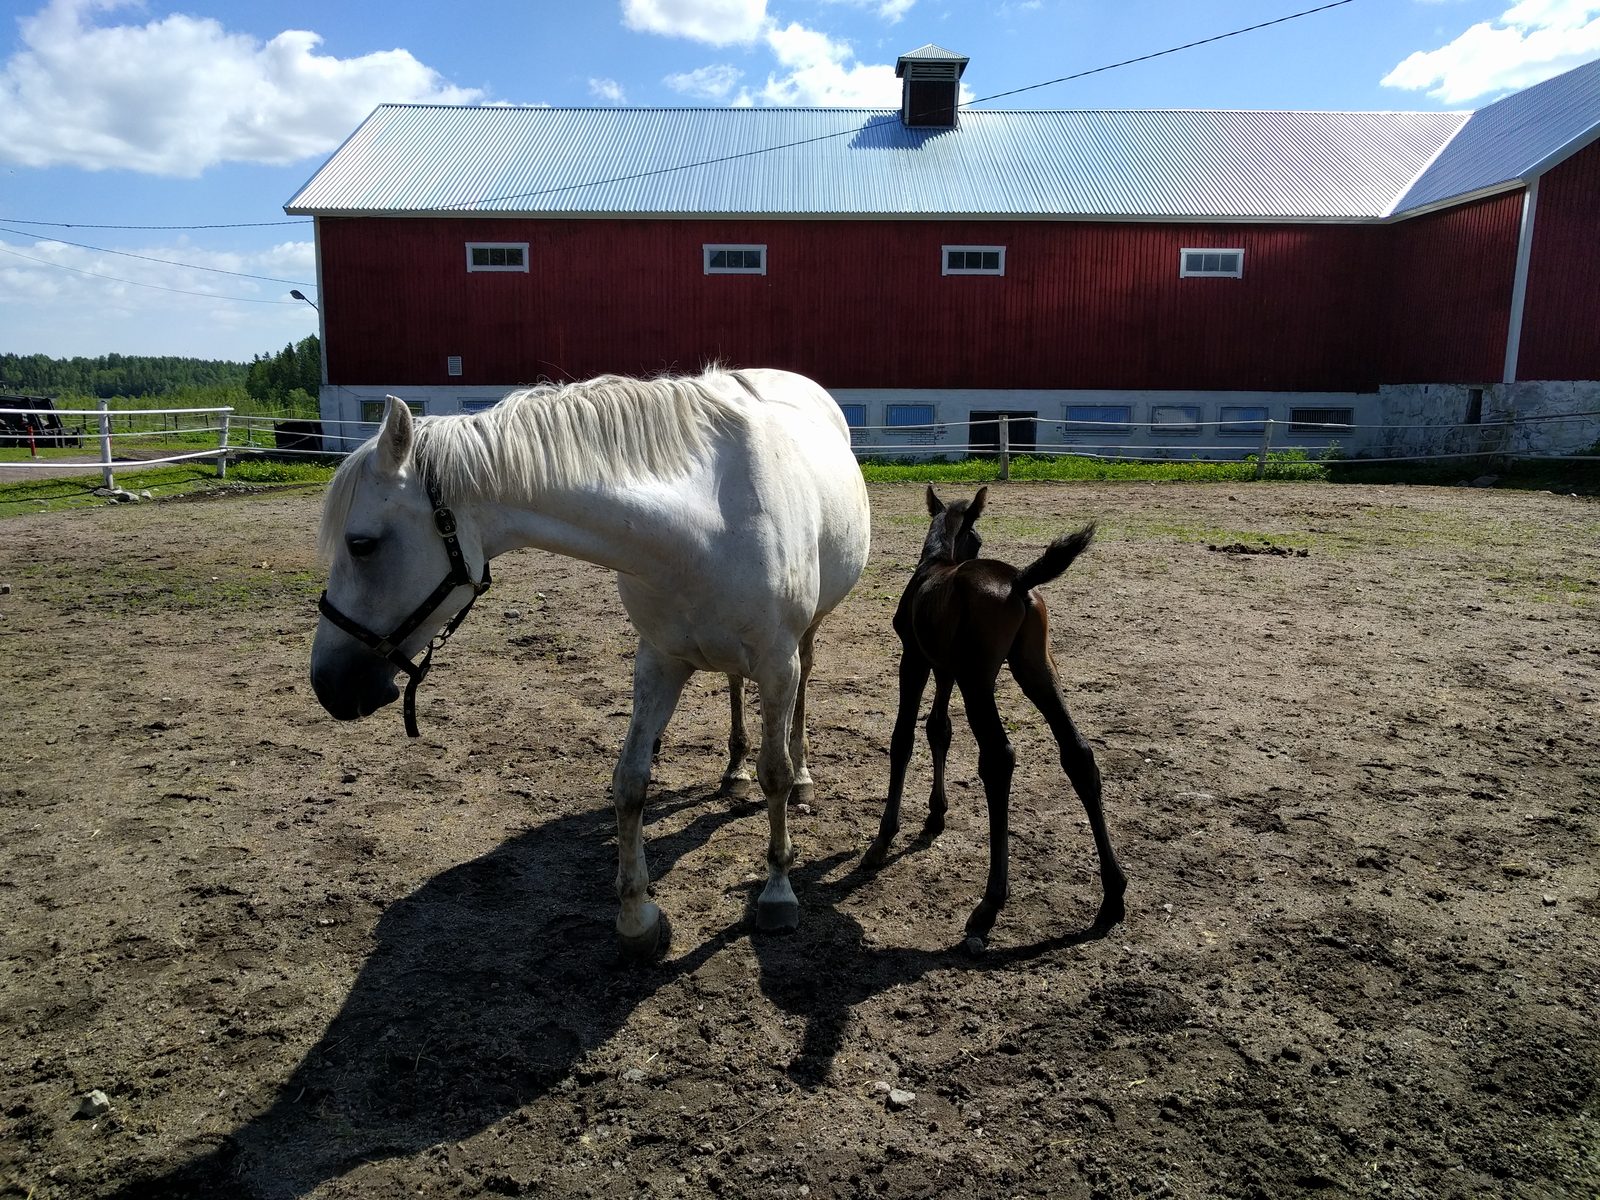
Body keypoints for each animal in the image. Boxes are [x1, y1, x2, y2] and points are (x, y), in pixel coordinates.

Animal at [310, 367, 871, 960]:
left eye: (362, 545)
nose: (328, 684)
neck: (707, 523)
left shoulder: (776, 664)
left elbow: (775, 775)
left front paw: (778, 890)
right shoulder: (658, 661)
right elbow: (630, 781)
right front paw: (636, 916)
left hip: (804, 639)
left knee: (801, 695)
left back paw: (804, 777)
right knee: (733, 687)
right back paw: (733, 770)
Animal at [862, 486, 1125, 950]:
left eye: (976, 538)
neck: (935, 564)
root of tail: (1019, 584)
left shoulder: (915, 659)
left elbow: (903, 739)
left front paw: (883, 837)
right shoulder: (944, 666)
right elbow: (938, 730)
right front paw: (935, 815)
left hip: (979, 679)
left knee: (999, 758)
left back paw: (989, 905)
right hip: (1035, 668)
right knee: (1077, 753)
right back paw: (1112, 897)